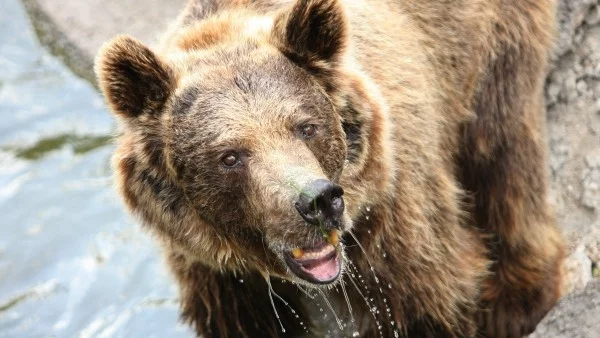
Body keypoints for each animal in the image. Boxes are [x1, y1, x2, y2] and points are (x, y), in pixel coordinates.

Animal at [96, 0, 564, 336]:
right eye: (229, 155)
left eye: (306, 126)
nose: (318, 201)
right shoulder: (219, 277)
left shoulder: (395, 228)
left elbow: (431, 297)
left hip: (487, 55)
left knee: (503, 163)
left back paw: (519, 300)